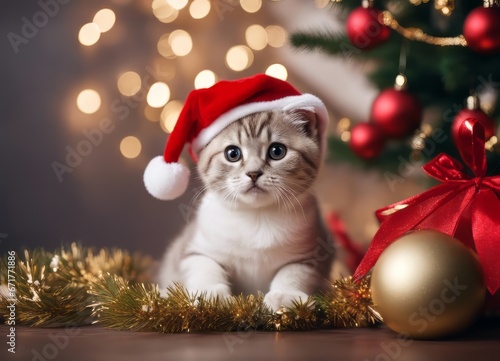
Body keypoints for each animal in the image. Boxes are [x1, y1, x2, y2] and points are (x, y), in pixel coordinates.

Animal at [158, 107, 334, 310]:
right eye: (232, 153)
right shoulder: (193, 248)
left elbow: (293, 273)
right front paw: (210, 295)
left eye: (277, 151)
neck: (257, 216)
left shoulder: (314, 254)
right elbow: (205, 267)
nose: (254, 173)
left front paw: (284, 296)